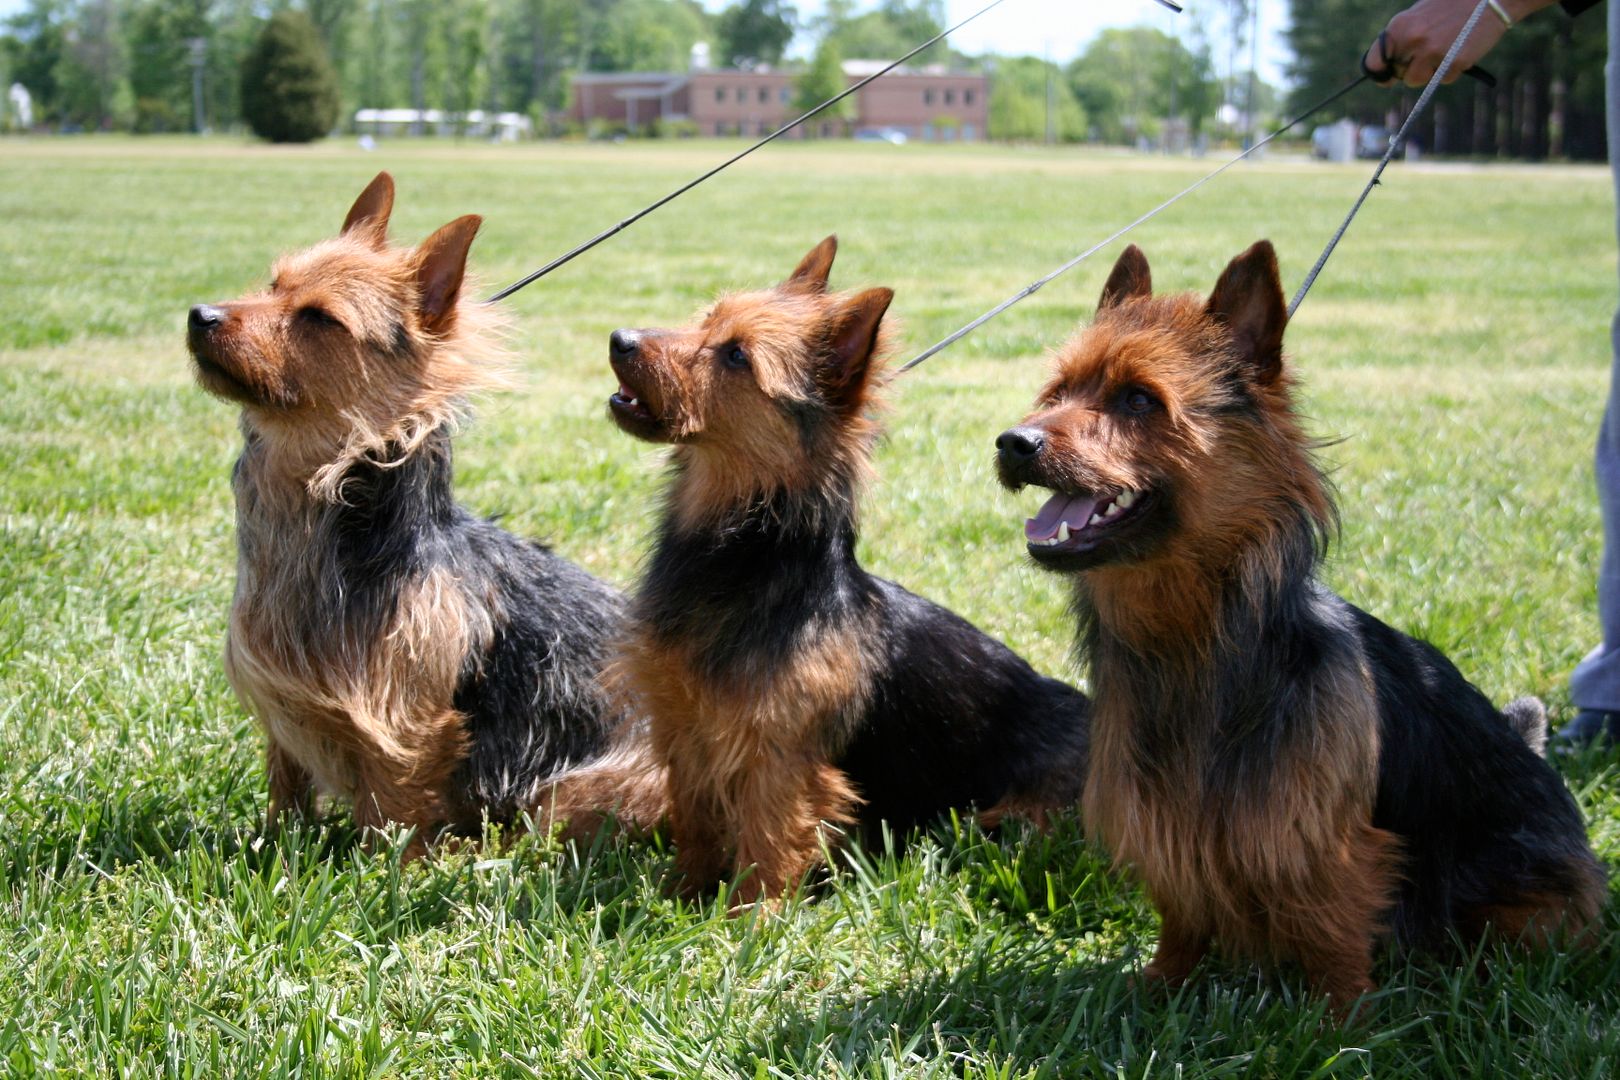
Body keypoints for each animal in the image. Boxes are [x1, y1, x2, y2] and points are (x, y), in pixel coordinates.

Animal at [602, 236, 1095, 906]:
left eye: (735, 356)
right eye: (705, 320)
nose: (619, 338)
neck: (741, 555)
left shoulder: (780, 757)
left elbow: (769, 842)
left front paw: (748, 918)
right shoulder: (684, 726)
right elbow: (695, 818)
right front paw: (682, 893)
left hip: (1008, 816)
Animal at [991, 238, 1600, 1016]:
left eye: (1138, 400)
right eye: (1058, 392)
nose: (1013, 442)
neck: (1196, 640)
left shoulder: (1325, 841)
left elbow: (1336, 930)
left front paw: (1341, 1022)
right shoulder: (1165, 817)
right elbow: (1181, 913)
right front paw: (1162, 985)